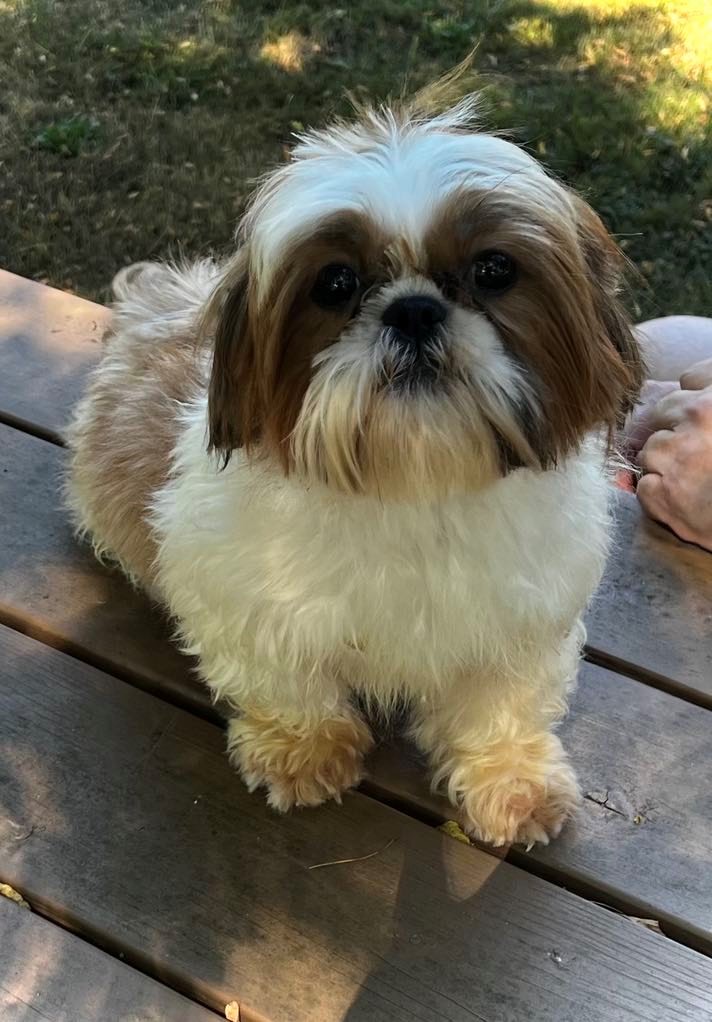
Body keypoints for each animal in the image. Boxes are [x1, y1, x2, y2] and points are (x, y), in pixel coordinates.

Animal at [66, 89, 641, 846]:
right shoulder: (234, 593)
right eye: (335, 283)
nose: (415, 310)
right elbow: (282, 677)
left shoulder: (523, 621)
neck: (417, 485)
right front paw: (303, 750)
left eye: (494, 271)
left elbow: (502, 702)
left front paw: (509, 779)